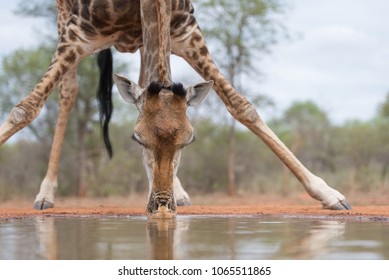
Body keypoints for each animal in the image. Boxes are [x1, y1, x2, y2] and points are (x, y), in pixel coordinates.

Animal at [0, 0, 350, 217]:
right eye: (137, 139)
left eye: (188, 140)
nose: (162, 205)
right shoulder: (77, 34)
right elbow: (25, 108)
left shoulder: (185, 30)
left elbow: (241, 106)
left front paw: (329, 194)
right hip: (64, 16)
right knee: (68, 92)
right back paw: (45, 194)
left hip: (145, 39)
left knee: (143, 77)